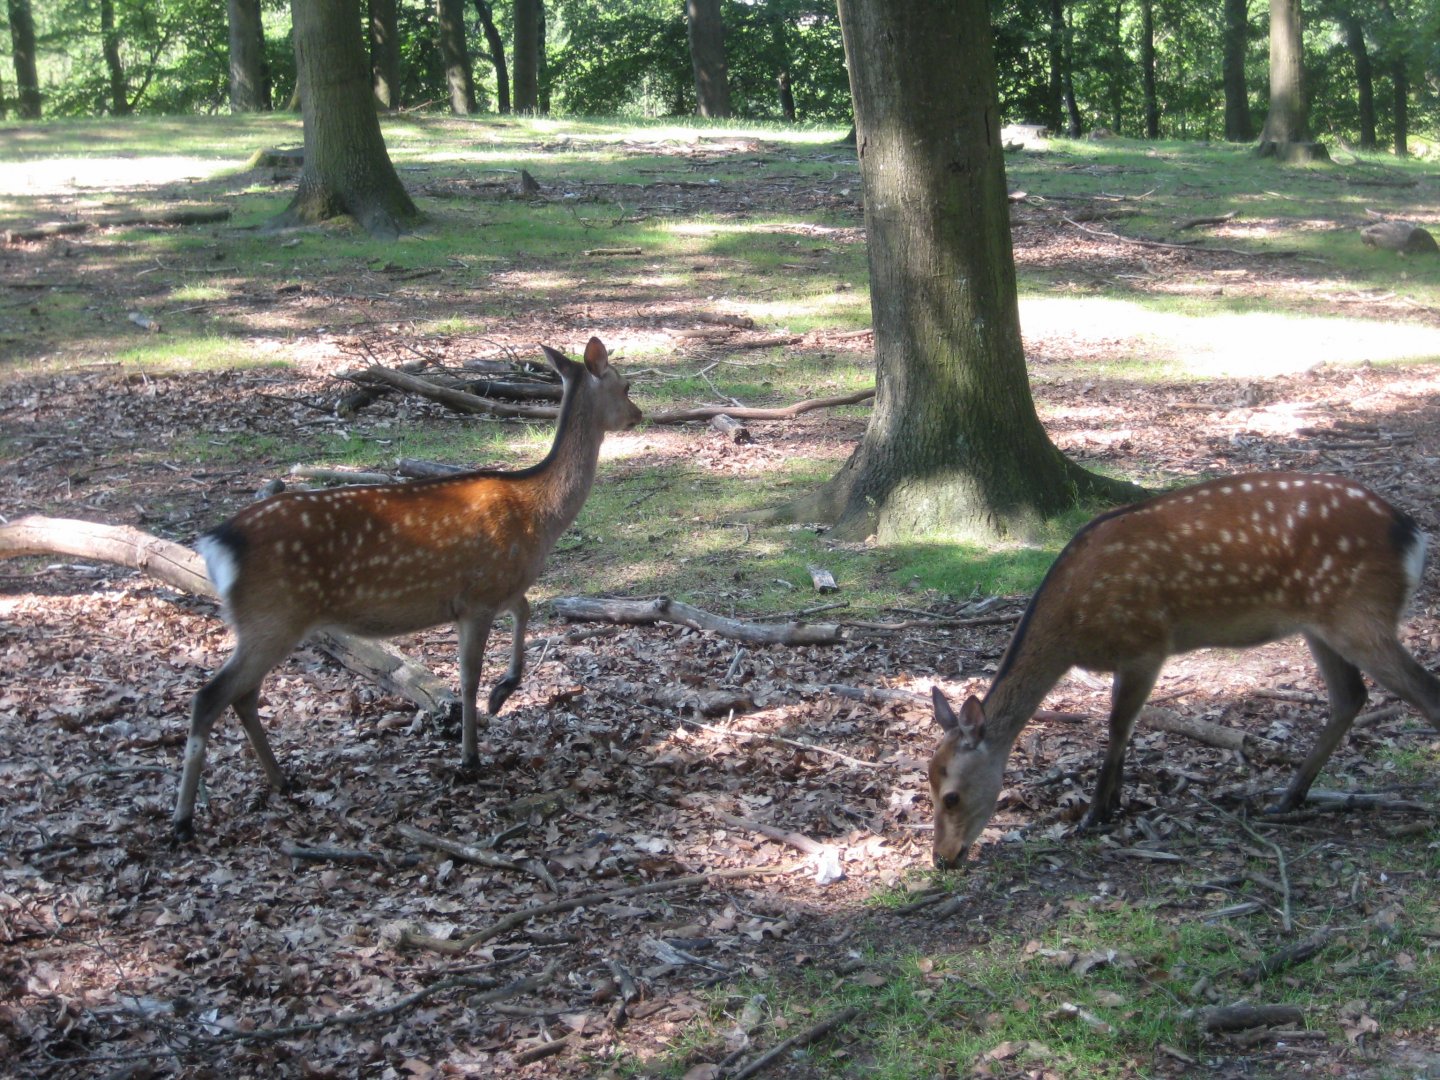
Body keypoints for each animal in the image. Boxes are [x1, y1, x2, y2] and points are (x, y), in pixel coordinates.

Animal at [173, 337, 642, 838]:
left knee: (243, 695)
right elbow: (468, 675)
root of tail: (217, 545)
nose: (638, 413)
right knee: (210, 696)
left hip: (265, 623)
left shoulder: (495, 587)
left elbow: (526, 611)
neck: (538, 514)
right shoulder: (477, 598)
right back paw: (183, 820)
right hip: (273, 616)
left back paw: (282, 780)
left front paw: (502, 693)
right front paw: (470, 757)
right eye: (625, 385)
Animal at [928, 472, 1440, 868]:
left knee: (1423, 691)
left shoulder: (1146, 643)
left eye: (951, 795)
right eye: (928, 784)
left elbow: (1117, 726)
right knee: (1350, 697)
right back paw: (1286, 798)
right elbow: (1124, 727)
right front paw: (1113, 804)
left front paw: (1094, 815)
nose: (943, 858)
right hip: (1322, 623)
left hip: (1358, 612)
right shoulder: (1131, 655)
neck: (1072, 628)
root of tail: (1412, 534)